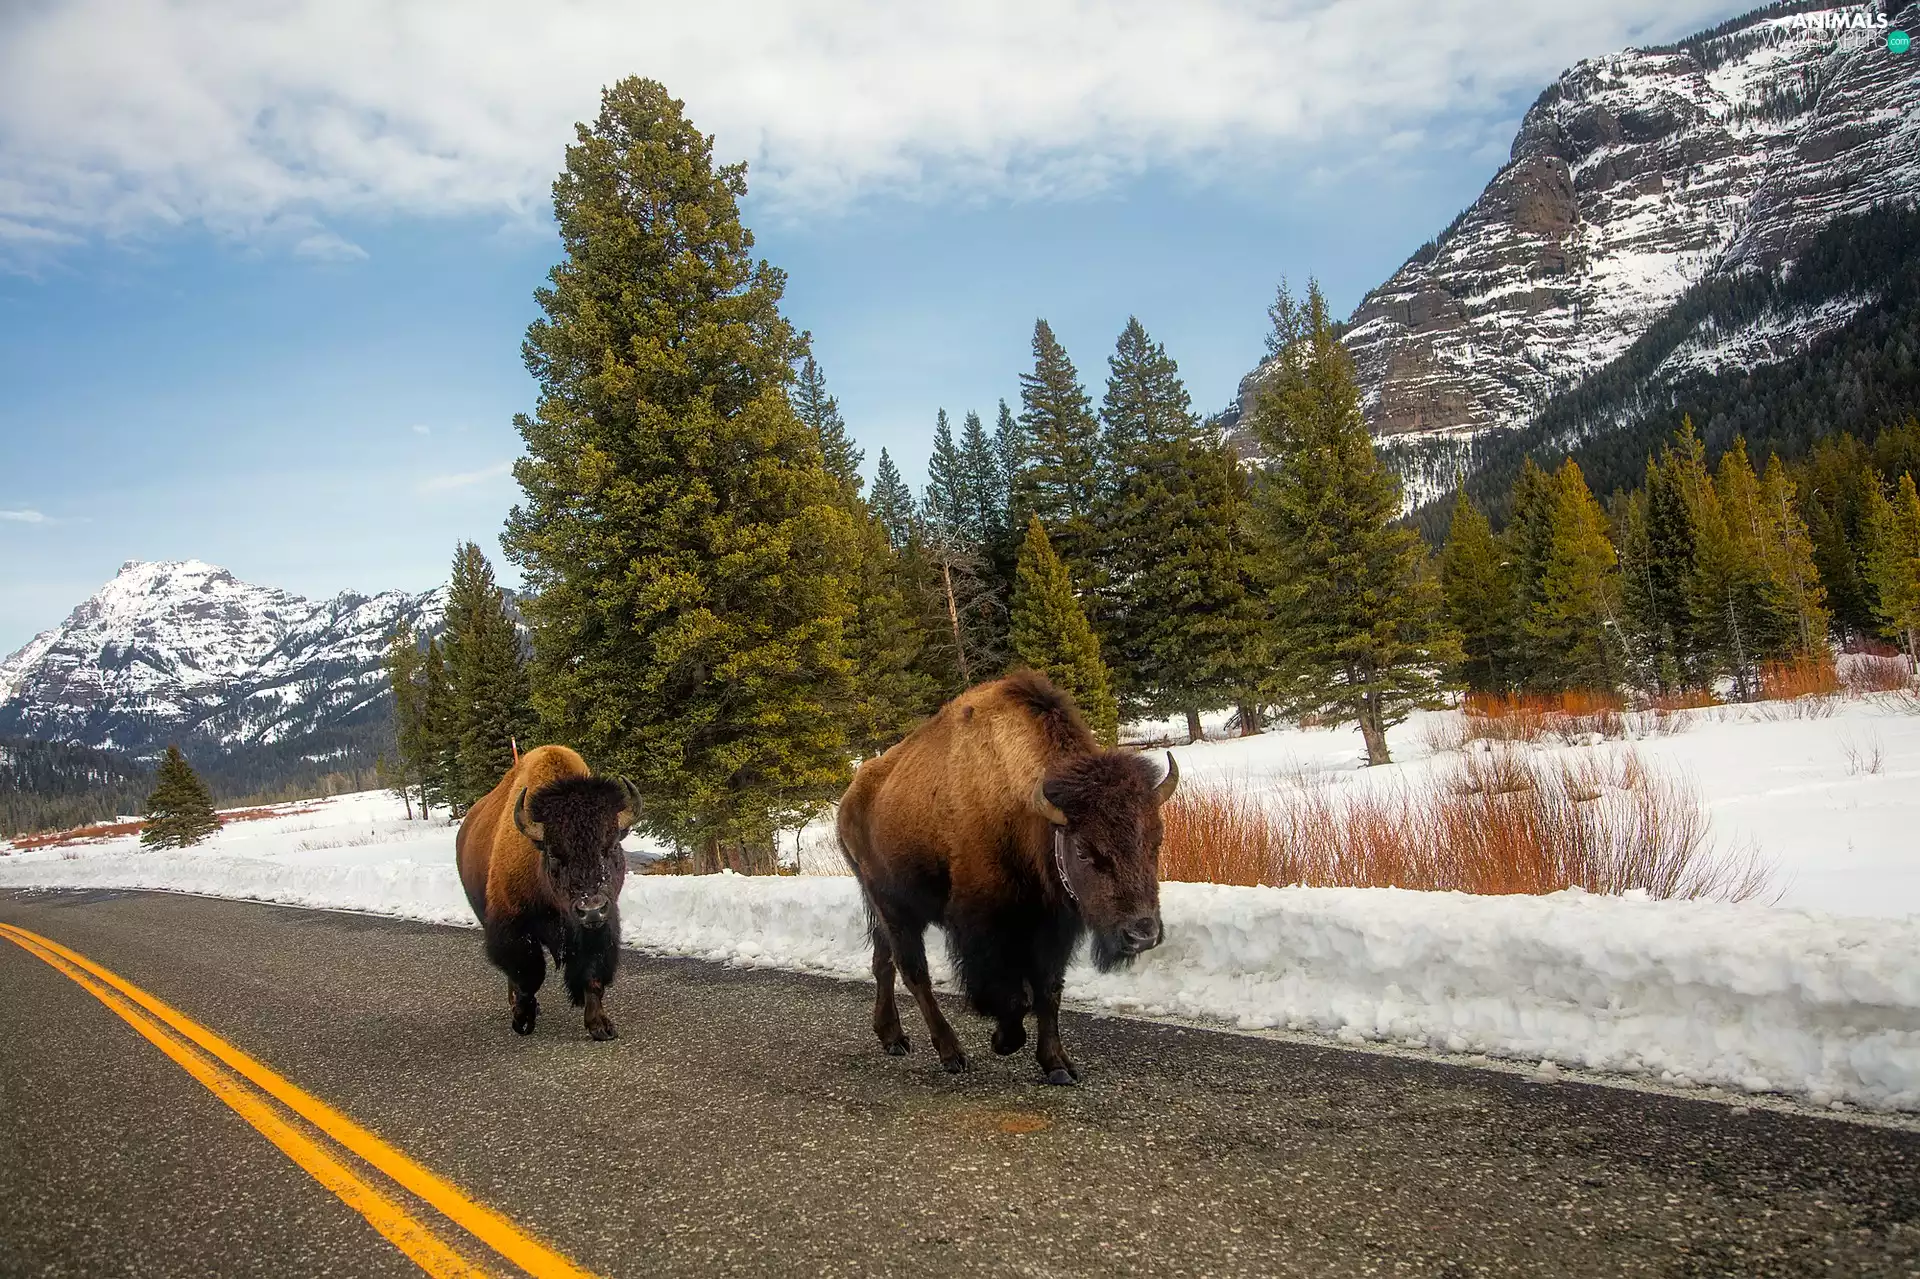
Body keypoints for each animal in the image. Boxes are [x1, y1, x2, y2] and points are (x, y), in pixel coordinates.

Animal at [456, 745, 638, 1040]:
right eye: (554, 854)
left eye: (611, 847)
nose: (591, 910)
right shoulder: (514, 930)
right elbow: (528, 976)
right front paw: (522, 1020)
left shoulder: (601, 928)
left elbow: (592, 975)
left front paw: (600, 1026)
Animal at [836, 670, 1176, 1083]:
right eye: (1083, 850)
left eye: (1156, 841)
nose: (1142, 934)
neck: (1025, 810)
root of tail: (850, 798)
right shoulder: (984, 926)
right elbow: (1015, 995)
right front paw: (1004, 1041)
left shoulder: (1052, 926)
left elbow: (1048, 990)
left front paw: (1057, 1065)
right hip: (894, 906)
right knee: (914, 973)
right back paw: (952, 1054)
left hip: (889, 912)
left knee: (883, 962)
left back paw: (893, 1038)